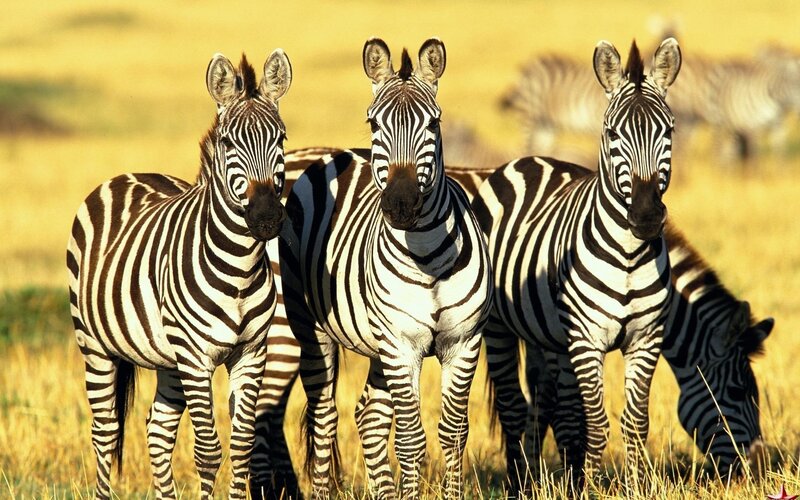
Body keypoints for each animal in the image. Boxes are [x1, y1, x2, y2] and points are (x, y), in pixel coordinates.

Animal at [66, 50, 292, 499]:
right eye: (227, 144)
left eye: (281, 139)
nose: (266, 219)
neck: (239, 272)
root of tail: (126, 175)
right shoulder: (195, 356)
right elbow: (208, 451)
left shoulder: (250, 353)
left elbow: (241, 447)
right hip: (95, 345)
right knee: (105, 431)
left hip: (167, 357)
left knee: (157, 429)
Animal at [277, 38, 492, 499]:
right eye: (374, 124)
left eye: (434, 124)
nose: (400, 204)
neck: (428, 257)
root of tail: (332, 155)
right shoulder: (401, 344)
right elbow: (410, 437)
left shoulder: (463, 342)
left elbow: (454, 432)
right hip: (312, 328)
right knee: (324, 420)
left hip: (378, 343)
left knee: (369, 417)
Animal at [471, 38, 682, 491]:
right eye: (612, 132)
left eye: (669, 130)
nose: (645, 216)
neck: (628, 255)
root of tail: (527, 159)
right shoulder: (587, 340)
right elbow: (596, 424)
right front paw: (591, 487)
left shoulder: (646, 338)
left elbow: (635, 422)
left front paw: (636, 487)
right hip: (497, 328)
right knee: (513, 407)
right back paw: (519, 484)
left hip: (545, 335)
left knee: (544, 402)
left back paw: (537, 479)